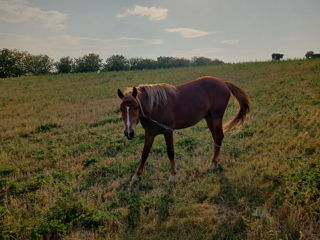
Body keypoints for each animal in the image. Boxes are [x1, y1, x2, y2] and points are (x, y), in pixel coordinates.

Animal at [117, 76, 250, 183]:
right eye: (121, 109)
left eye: (136, 107)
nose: (129, 133)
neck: (155, 106)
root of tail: (223, 83)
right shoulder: (150, 133)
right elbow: (144, 154)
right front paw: (136, 176)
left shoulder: (168, 131)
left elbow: (170, 152)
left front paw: (173, 176)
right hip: (209, 118)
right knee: (217, 138)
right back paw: (215, 161)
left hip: (216, 117)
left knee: (218, 137)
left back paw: (213, 163)